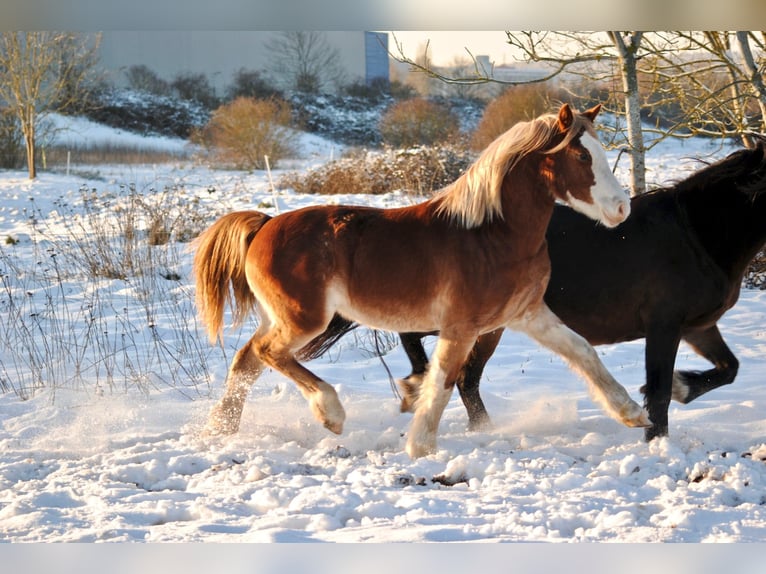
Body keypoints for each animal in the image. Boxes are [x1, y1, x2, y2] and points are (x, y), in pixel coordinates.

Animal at [195, 103, 644, 460]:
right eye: (581, 155)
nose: (622, 208)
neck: (492, 235)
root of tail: (264, 224)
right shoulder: (461, 327)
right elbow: (442, 380)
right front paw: (421, 445)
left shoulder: (526, 316)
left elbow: (583, 352)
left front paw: (632, 413)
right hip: (304, 320)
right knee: (267, 353)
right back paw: (331, 414)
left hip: (282, 318)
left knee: (246, 361)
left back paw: (219, 429)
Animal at [302, 142, 766, 444]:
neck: (696, 235)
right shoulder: (664, 325)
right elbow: (660, 390)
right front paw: (657, 439)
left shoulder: (699, 326)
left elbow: (729, 368)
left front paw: (683, 388)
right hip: (472, 320)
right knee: (420, 341)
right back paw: (417, 387)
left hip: (489, 326)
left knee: (465, 379)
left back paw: (471, 422)